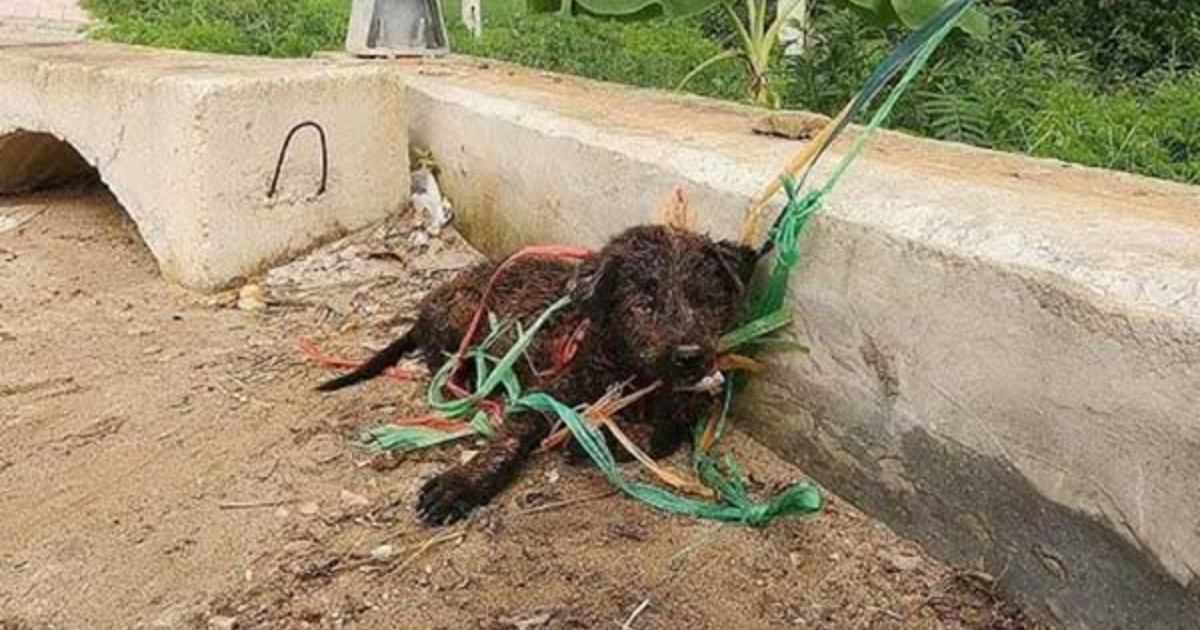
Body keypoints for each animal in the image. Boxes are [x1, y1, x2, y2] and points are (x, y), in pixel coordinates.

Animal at [314, 223, 753, 523]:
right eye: (643, 305)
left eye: (706, 301)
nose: (691, 357)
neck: (633, 372)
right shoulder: (544, 394)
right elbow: (509, 439)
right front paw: (463, 483)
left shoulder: (687, 404)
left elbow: (662, 434)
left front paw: (596, 440)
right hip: (464, 316)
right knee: (439, 359)